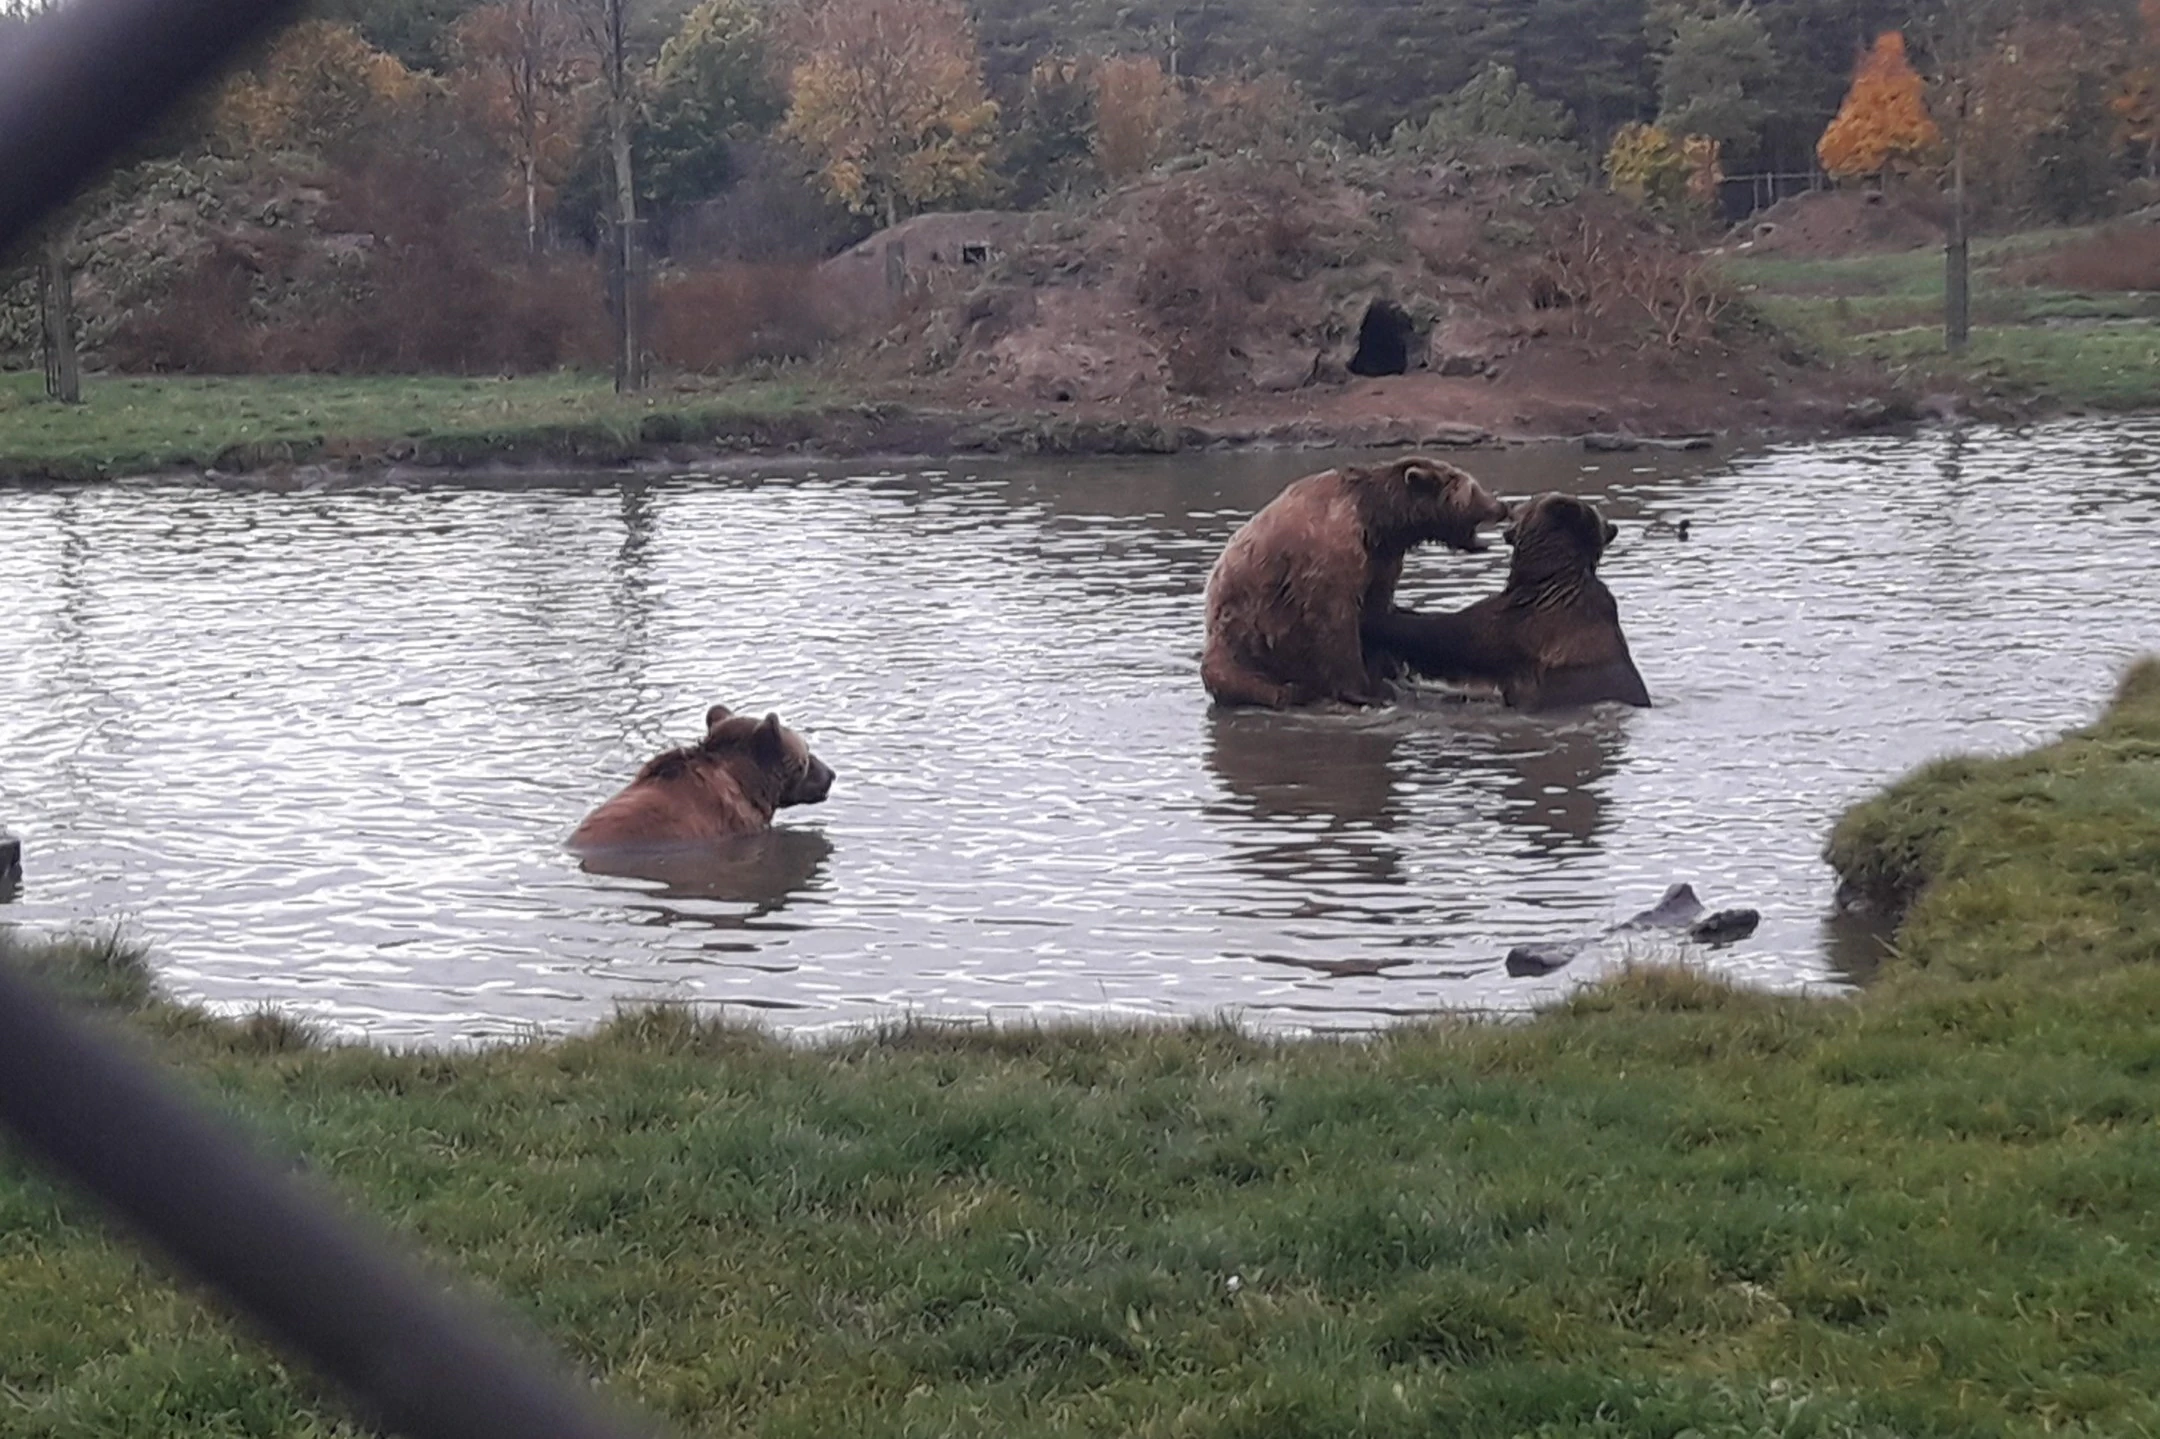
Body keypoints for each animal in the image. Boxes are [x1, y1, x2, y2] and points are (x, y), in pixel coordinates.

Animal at [1201, 455, 1512, 709]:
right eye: (1474, 489)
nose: (1502, 506)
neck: (1378, 520)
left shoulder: (1381, 559)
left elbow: (1375, 612)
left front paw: (1388, 673)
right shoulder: (1330, 552)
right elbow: (1334, 619)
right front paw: (1364, 691)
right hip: (1239, 637)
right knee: (1241, 675)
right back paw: (1291, 691)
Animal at [1362, 492, 1651, 713]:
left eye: (1528, 504)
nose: (1510, 507)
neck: (1548, 577)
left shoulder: (1515, 628)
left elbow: (1445, 635)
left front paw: (1377, 616)